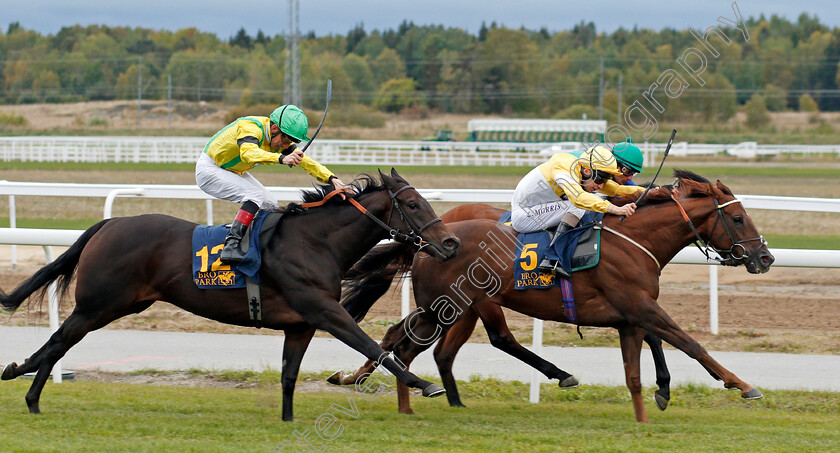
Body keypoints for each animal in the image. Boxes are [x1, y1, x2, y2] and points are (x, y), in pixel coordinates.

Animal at [0, 170, 460, 420]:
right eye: (414, 205)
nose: (451, 243)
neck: (314, 242)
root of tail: (108, 224)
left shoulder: (301, 324)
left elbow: (289, 375)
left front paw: (288, 421)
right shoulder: (324, 311)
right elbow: (371, 345)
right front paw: (423, 384)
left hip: (121, 303)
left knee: (61, 342)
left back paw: (26, 385)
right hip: (100, 303)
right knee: (59, 340)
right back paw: (23, 384)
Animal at [330, 201, 676, 410]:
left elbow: (653, 333)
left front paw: (662, 387)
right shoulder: (625, 299)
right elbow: (654, 333)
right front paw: (662, 388)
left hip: (462, 306)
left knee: (420, 340)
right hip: (474, 301)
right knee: (496, 339)